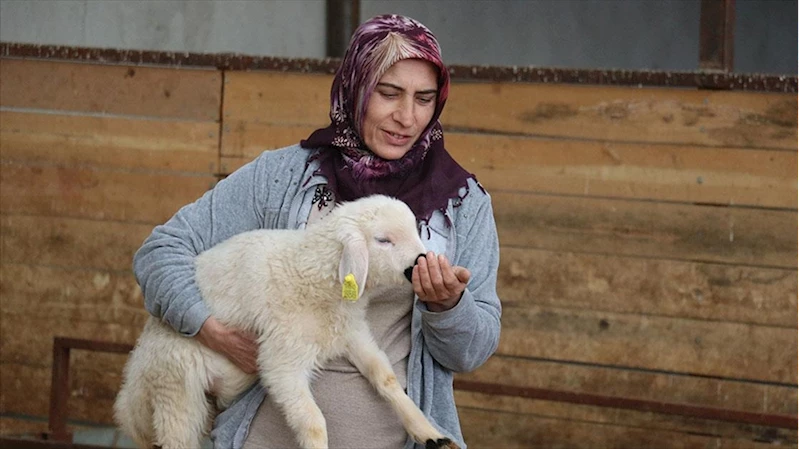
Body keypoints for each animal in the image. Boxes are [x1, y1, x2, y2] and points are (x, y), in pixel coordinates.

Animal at [115, 194, 460, 448]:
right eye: (383, 240)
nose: (420, 262)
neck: (311, 275)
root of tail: (136, 372)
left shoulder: (351, 333)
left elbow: (385, 377)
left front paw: (429, 433)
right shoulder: (282, 361)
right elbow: (313, 422)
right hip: (175, 389)